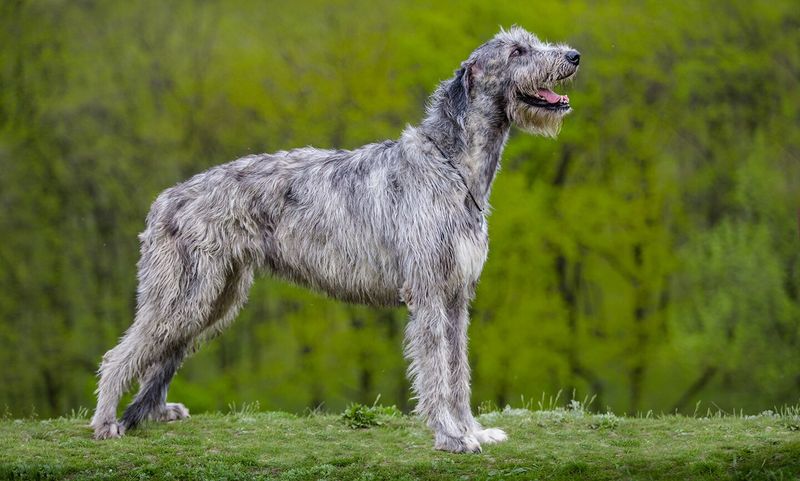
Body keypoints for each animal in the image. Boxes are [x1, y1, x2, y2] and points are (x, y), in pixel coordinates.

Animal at [92, 27, 580, 454]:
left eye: (531, 42)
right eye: (517, 51)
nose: (573, 56)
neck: (452, 167)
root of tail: (164, 200)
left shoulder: (457, 293)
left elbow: (458, 369)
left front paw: (472, 429)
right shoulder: (427, 291)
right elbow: (436, 371)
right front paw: (450, 436)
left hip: (216, 297)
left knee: (162, 352)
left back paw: (153, 413)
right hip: (185, 293)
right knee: (120, 354)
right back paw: (106, 423)